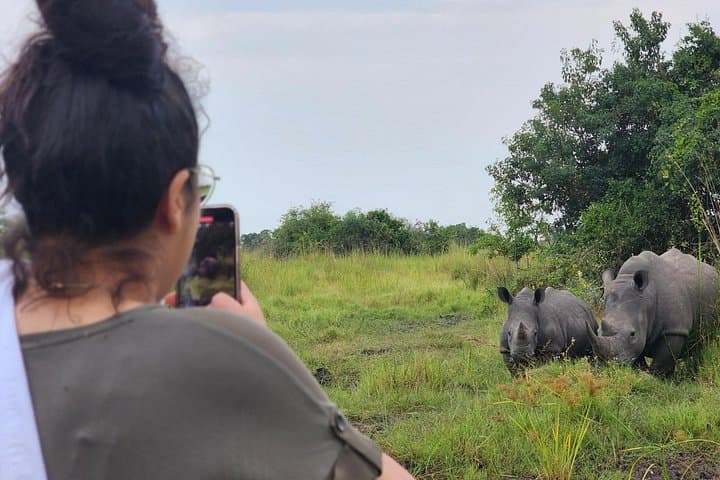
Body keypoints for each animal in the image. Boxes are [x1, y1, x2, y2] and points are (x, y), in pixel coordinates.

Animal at [587, 248, 718, 376]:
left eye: (632, 334)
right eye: (598, 331)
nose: (607, 365)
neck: (647, 299)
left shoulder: (675, 329)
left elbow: (662, 361)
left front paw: (655, 378)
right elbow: (638, 358)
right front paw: (641, 373)